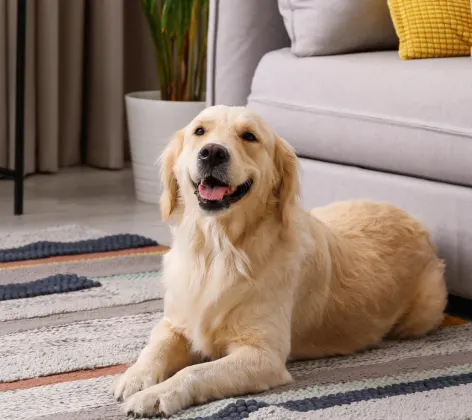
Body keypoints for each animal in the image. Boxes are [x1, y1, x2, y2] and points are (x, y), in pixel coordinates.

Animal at [113, 104, 446, 416]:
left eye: (249, 136)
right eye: (199, 131)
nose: (212, 153)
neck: (217, 249)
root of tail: (417, 223)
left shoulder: (263, 356)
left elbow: (195, 371)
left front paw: (155, 395)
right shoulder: (175, 322)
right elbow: (156, 347)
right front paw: (136, 377)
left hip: (423, 312)